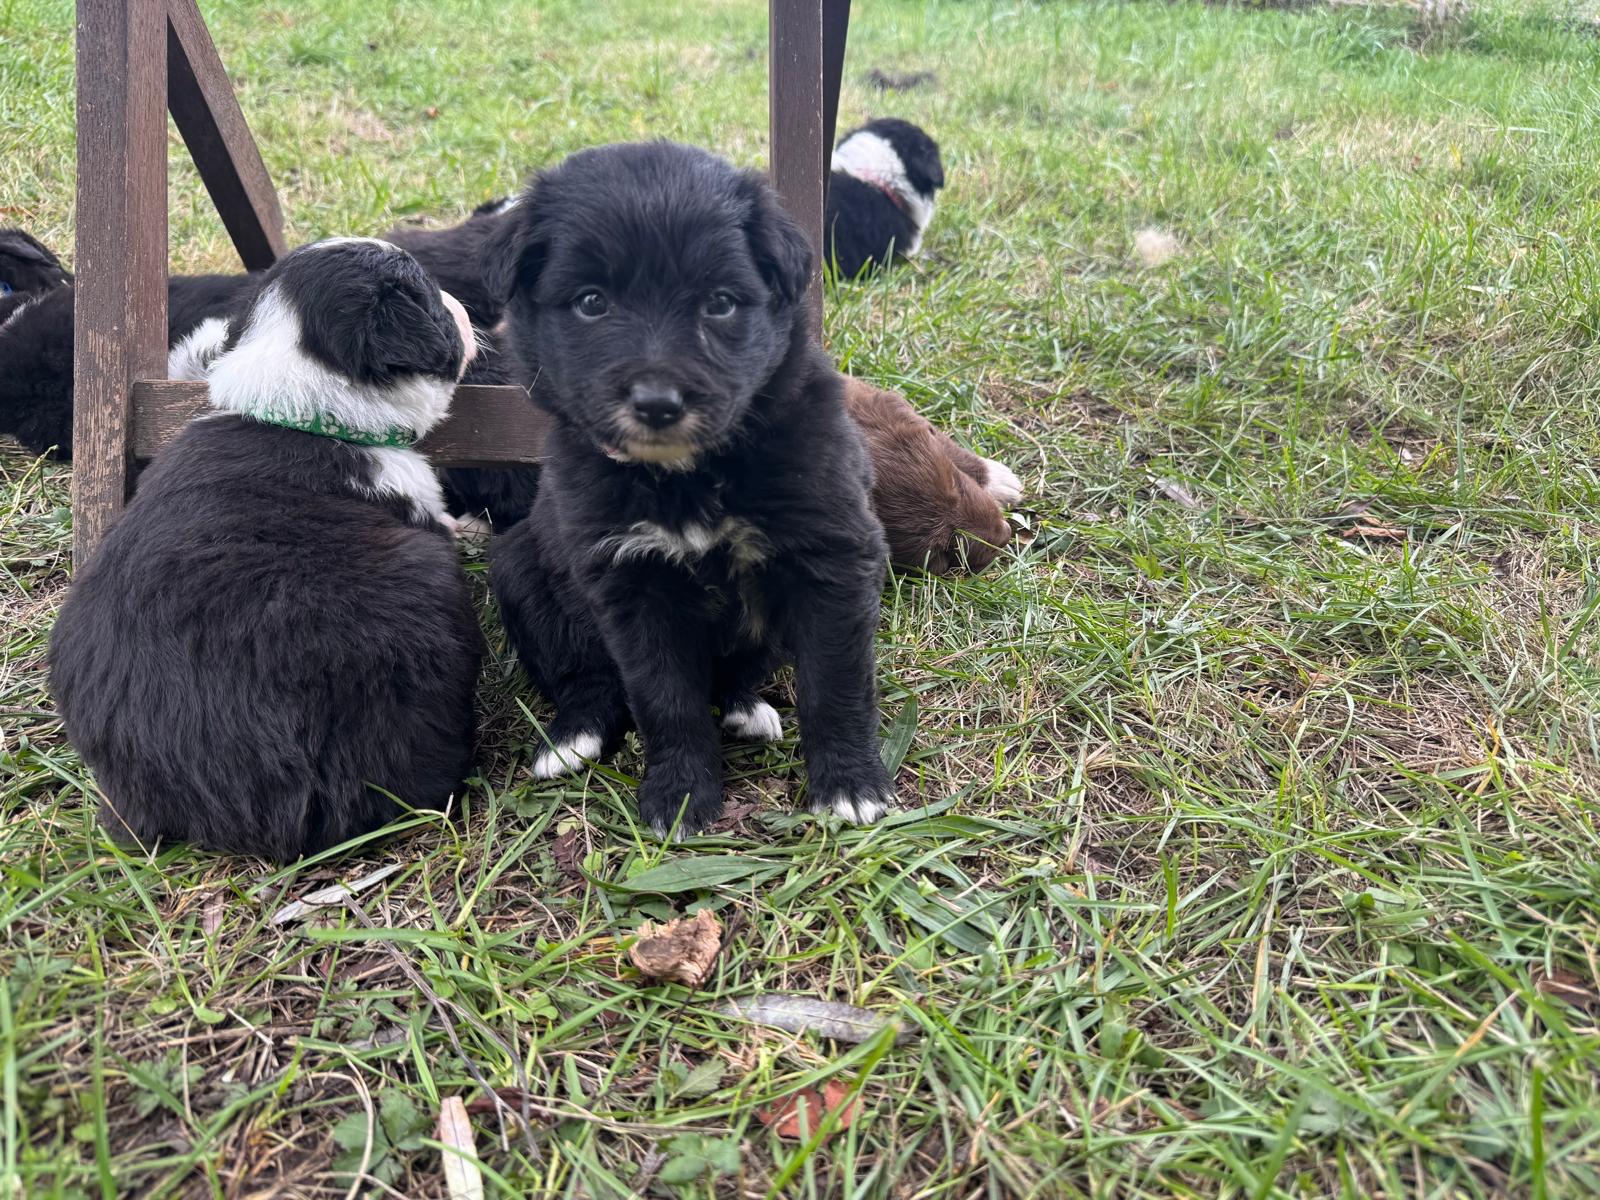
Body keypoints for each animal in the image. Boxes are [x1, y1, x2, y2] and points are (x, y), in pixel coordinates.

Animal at [49, 238, 483, 862]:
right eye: (428, 294)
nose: (465, 307)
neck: (303, 415)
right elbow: (440, 517)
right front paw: (470, 527)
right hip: (419, 596)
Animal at [484, 141, 897, 837]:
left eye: (721, 303)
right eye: (591, 302)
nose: (657, 402)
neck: (689, 476)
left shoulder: (829, 559)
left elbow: (836, 684)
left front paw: (848, 785)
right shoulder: (631, 582)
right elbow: (664, 698)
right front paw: (679, 796)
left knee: (738, 674)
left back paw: (745, 708)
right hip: (521, 571)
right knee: (584, 676)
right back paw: (572, 738)